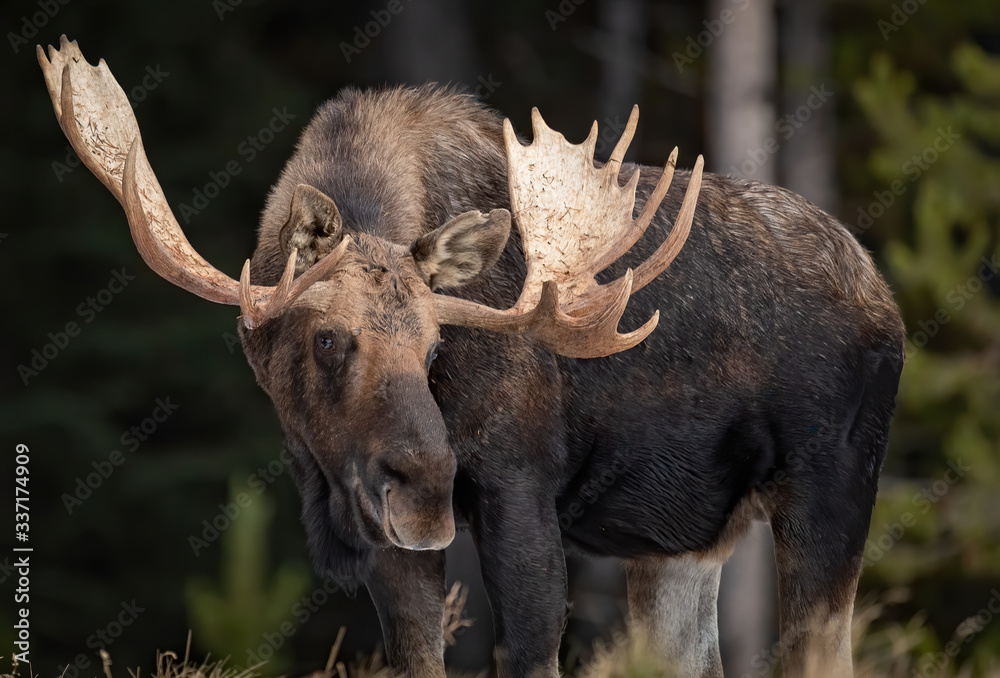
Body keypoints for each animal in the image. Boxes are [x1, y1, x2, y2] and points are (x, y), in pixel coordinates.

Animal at [40, 36, 904, 678]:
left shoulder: (518, 483)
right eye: (328, 338)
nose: (424, 479)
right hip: (680, 542)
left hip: (831, 488)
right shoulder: (373, 524)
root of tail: (885, 296)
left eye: (433, 346)